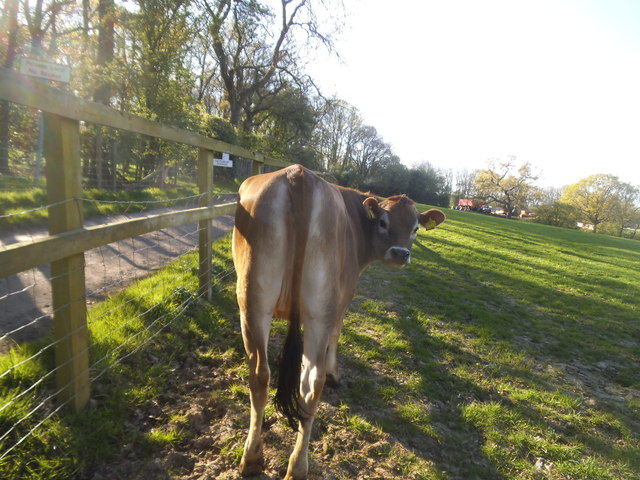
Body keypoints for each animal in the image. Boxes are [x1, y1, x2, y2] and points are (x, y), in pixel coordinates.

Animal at [231, 163, 444, 478]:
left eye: (416, 228)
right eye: (383, 222)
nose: (400, 253)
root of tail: (299, 174)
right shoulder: (344, 298)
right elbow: (337, 333)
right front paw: (335, 372)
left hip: (253, 301)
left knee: (263, 375)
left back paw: (254, 459)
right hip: (316, 306)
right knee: (311, 382)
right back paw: (297, 465)